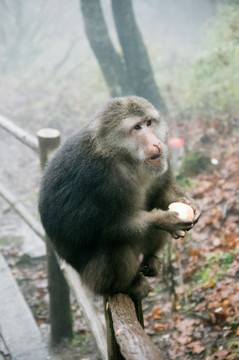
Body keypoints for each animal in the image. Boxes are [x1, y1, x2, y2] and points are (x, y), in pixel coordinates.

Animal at [39, 95, 200, 298]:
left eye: (148, 123)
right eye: (137, 127)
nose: (156, 143)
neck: (124, 159)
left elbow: (161, 190)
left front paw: (189, 203)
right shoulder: (97, 178)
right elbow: (91, 231)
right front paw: (163, 220)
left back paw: (151, 260)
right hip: (94, 279)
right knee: (115, 244)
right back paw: (126, 286)